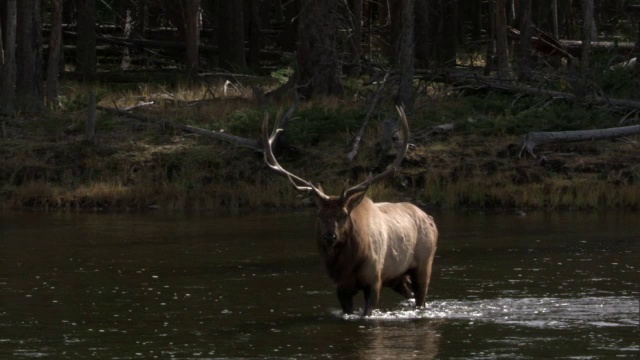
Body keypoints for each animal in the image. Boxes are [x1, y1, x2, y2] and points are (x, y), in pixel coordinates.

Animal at [262, 106, 438, 316]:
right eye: (320, 215)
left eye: (344, 215)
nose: (329, 236)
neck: (348, 265)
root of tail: (430, 218)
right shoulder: (341, 287)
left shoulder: (374, 280)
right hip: (397, 277)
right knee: (410, 293)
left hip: (423, 265)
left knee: (421, 297)